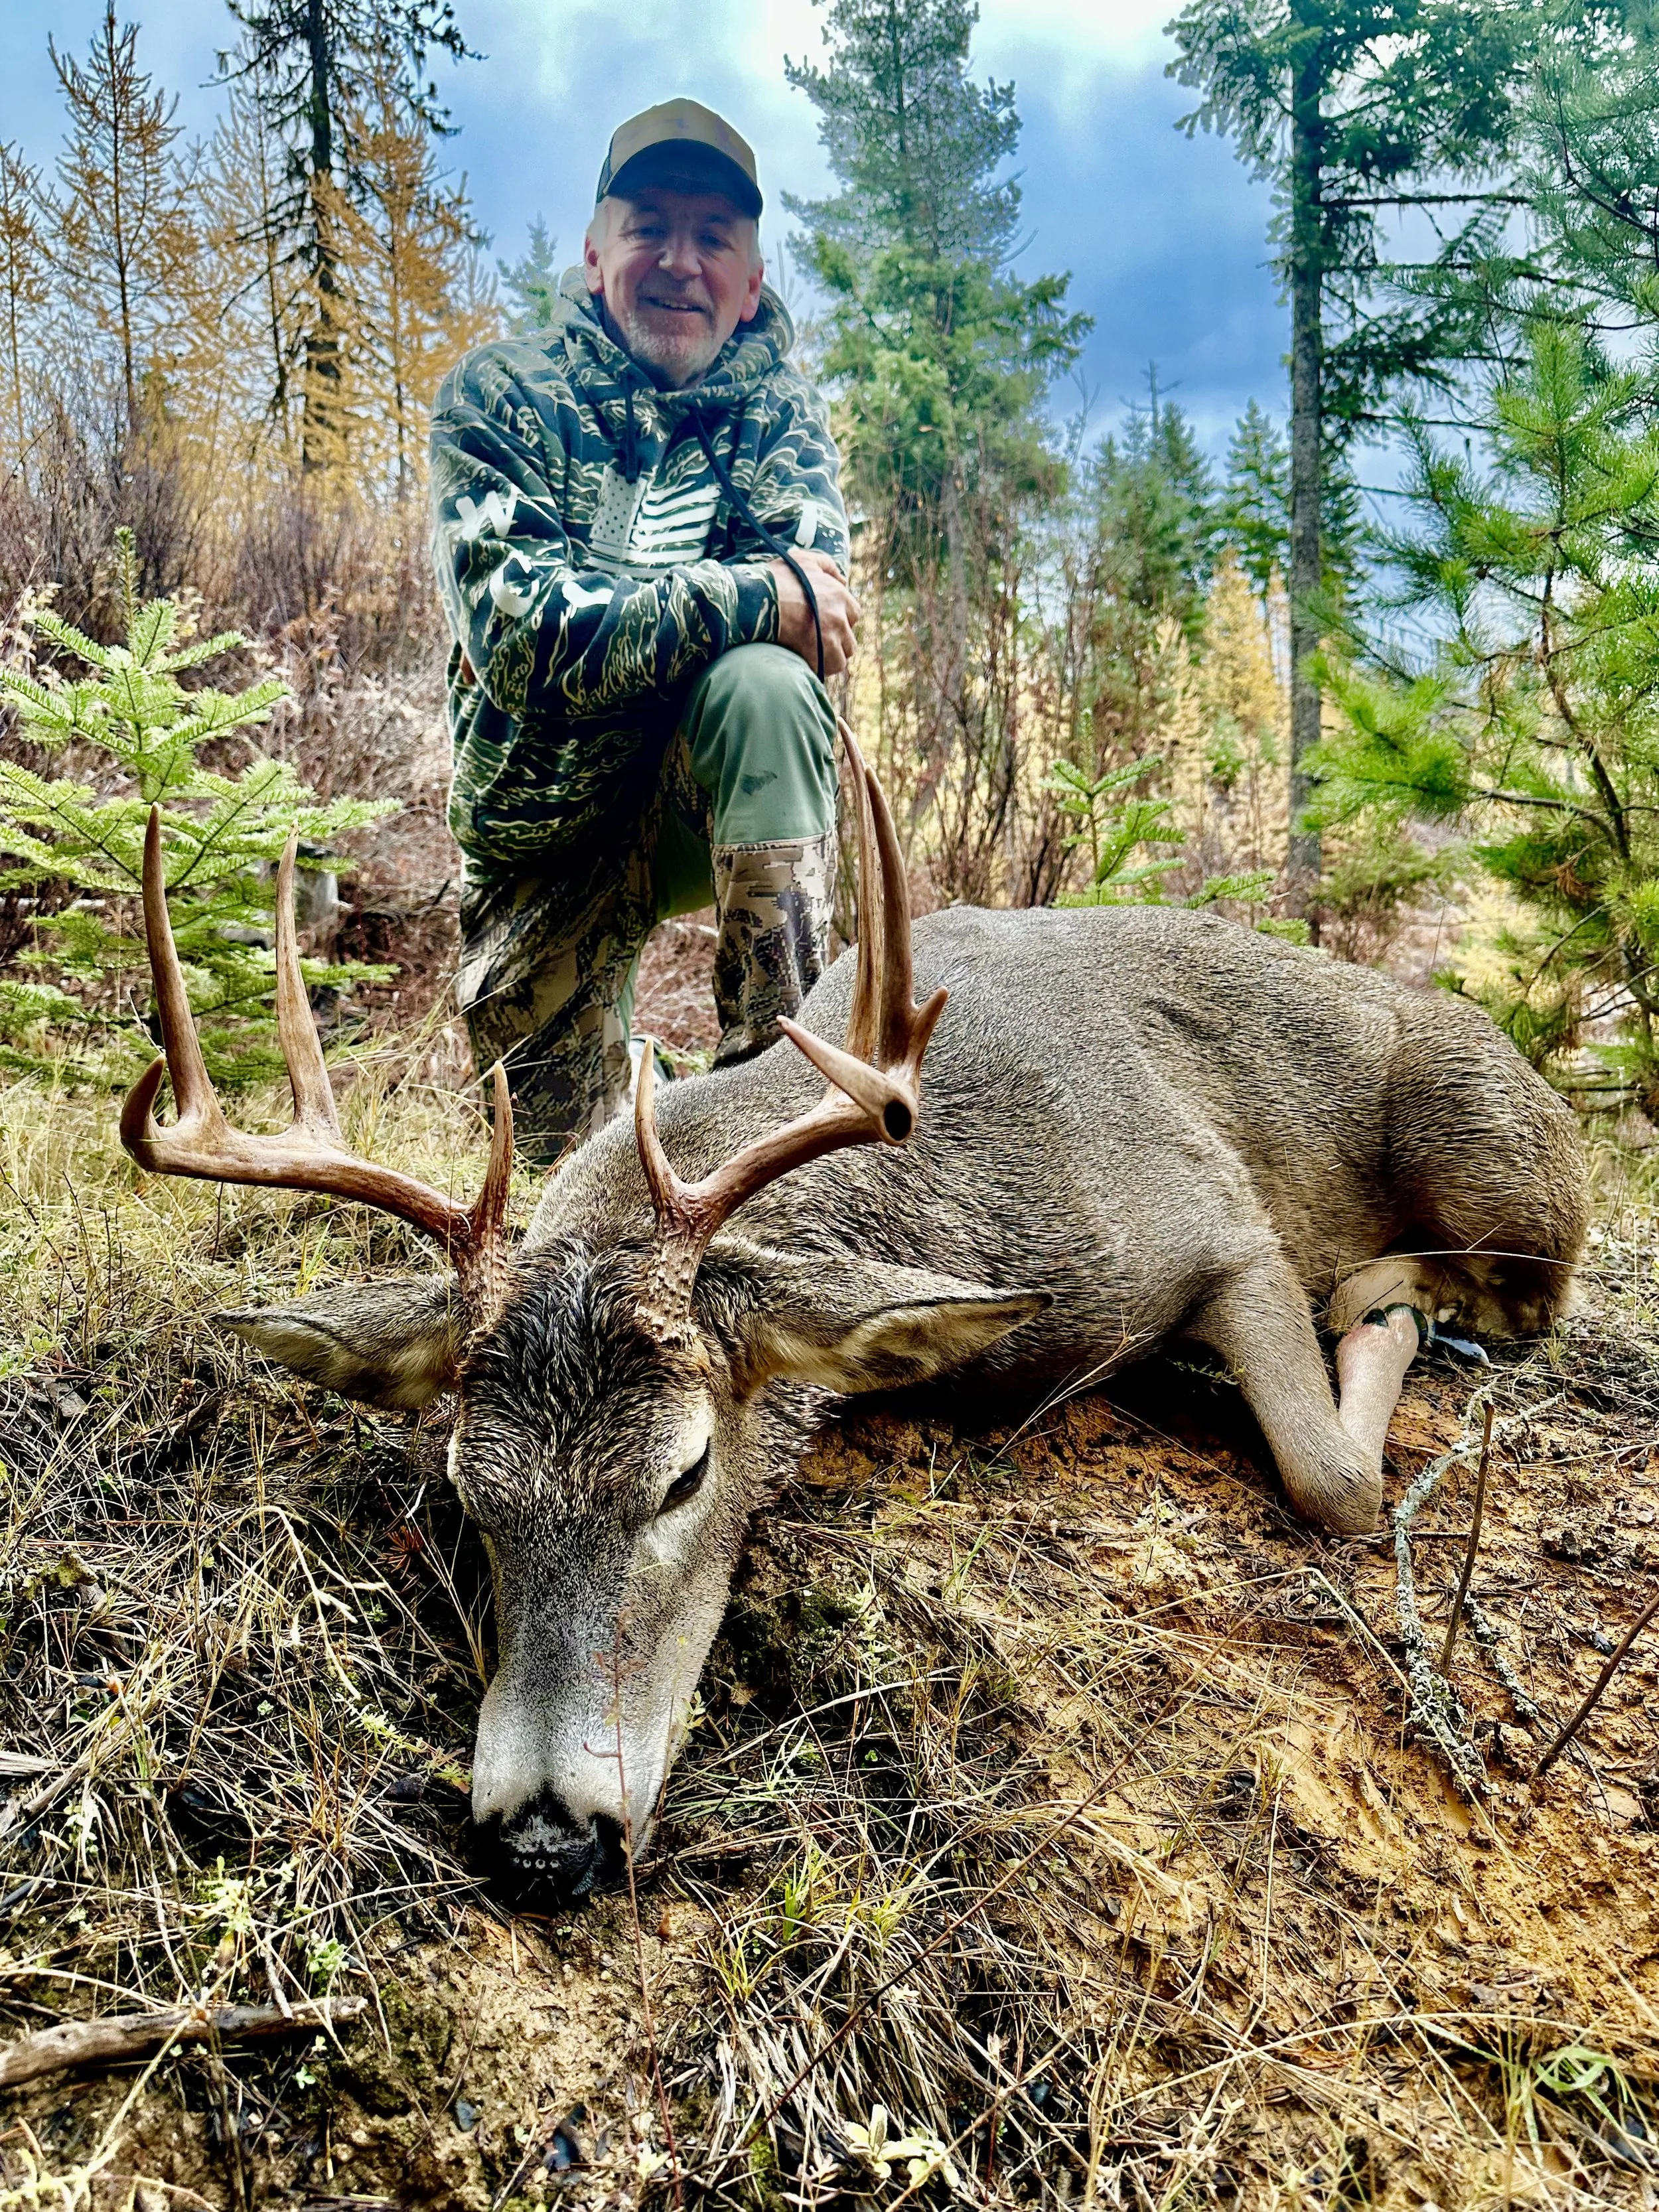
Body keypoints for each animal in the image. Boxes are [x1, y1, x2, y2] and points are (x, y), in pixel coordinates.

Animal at [120, 740, 1587, 1908]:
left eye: (685, 1475)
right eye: (470, 1493)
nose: (545, 1841)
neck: (954, 1192)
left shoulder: (1212, 1215)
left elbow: (1334, 1477)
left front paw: (1368, 1326)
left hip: (1481, 1128)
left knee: (1538, 1284)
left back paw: (1394, 1292)